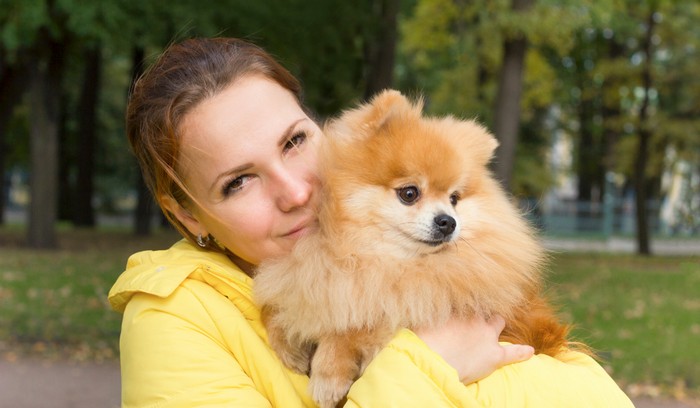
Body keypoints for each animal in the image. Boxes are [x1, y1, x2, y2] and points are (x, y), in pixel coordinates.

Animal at [254, 90, 572, 408]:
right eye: (409, 193)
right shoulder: (312, 277)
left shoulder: (406, 308)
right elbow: (288, 303)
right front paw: (285, 341)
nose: (448, 221)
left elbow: (354, 327)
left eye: (454, 199)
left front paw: (328, 375)